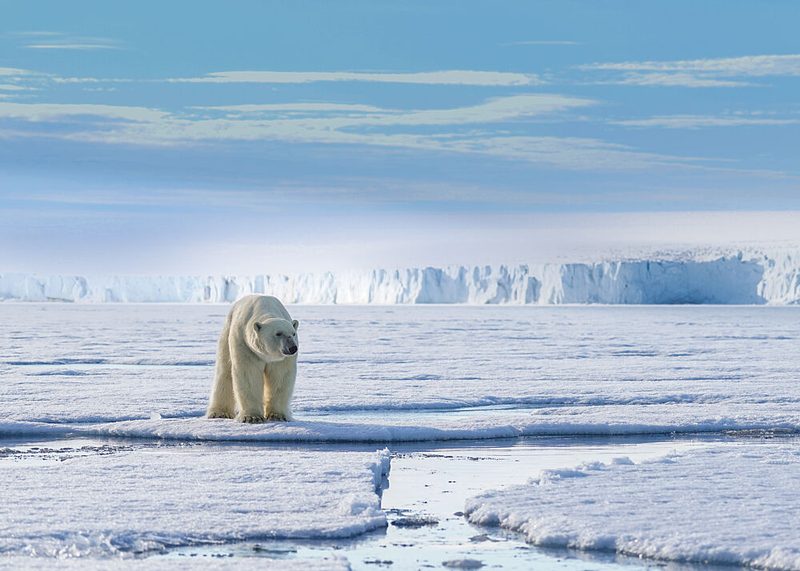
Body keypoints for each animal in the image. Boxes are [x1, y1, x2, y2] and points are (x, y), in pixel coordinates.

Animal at [206, 295, 299, 423]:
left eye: (293, 333)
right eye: (278, 333)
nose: (292, 348)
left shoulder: (281, 359)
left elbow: (280, 376)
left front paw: (278, 415)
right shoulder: (245, 344)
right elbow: (248, 374)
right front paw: (252, 417)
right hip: (227, 333)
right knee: (224, 371)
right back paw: (219, 413)